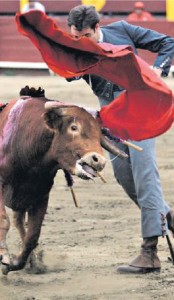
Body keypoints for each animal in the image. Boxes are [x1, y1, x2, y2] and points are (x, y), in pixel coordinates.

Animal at [0, 86, 125, 274]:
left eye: (99, 133)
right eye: (73, 127)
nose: (99, 161)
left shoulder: (41, 196)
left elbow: (32, 235)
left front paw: (16, 263)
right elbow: (3, 221)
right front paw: (4, 257)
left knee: (20, 222)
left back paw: (34, 261)